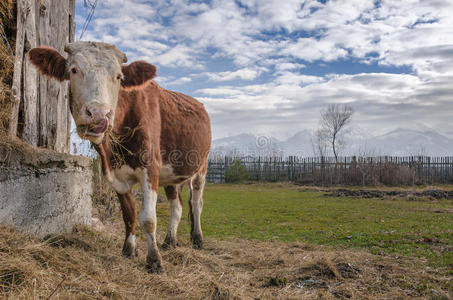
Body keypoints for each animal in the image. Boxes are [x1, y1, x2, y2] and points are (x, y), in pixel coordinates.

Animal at [27, 41, 211, 274]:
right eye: (74, 70)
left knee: (197, 202)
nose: (98, 114)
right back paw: (170, 241)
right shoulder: (115, 175)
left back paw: (197, 239)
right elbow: (129, 213)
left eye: (118, 77)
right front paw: (129, 250)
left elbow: (148, 218)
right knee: (176, 206)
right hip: (172, 175)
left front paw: (154, 261)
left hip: (201, 167)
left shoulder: (150, 168)